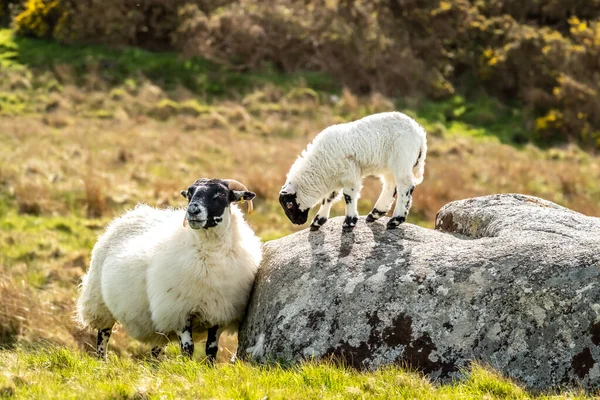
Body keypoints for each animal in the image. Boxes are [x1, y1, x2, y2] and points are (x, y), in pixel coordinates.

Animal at [77, 178, 260, 360]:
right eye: (190, 194)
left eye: (220, 194)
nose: (192, 210)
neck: (209, 251)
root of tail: (131, 214)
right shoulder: (178, 312)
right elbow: (187, 349)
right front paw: (187, 366)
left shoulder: (218, 314)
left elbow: (211, 349)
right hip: (99, 303)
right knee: (103, 335)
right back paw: (102, 361)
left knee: (156, 349)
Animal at [278, 111, 424, 231]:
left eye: (289, 205)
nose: (297, 222)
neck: (320, 167)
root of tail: (420, 132)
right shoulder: (335, 177)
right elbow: (328, 198)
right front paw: (318, 222)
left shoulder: (349, 174)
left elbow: (349, 196)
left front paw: (349, 222)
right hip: (390, 165)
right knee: (390, 185)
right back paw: (375, 214)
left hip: (402, 158)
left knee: (405, 186)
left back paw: (395, 220)